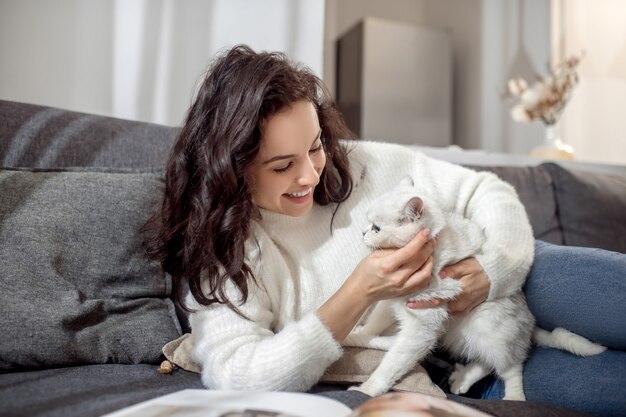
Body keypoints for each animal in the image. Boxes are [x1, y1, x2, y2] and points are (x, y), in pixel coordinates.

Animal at [344, 175, 604, 396]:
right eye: (368, 223)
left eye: (377, 228)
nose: (363, 233)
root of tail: (529, 324)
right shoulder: (393, 301)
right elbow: (374, 325)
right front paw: (355, 336)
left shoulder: (422, 327)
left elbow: (391, 365)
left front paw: (366, 390)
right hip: (459, 333)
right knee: (485, 362)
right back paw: (463, 379)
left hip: (488, 330)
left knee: (509, 367)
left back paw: (513, 396)